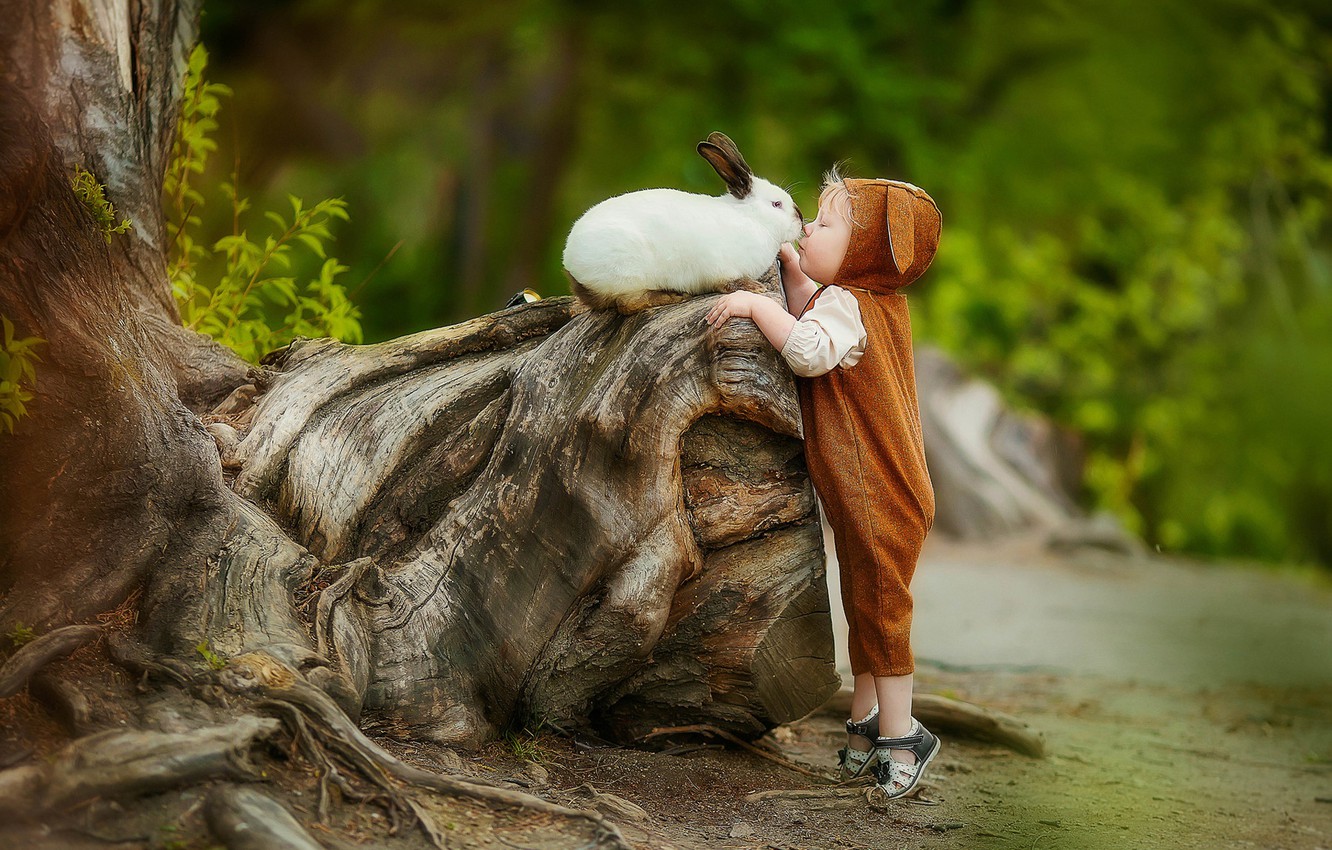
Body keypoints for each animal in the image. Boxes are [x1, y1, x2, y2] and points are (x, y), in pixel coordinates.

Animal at [563, 132, 805, 313]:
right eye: (776, 204)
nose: (800, 221)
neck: (751, 219)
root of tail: (571, 262)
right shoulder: (719, 267)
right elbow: (728, 283)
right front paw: (754, 287)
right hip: (629, 274)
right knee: (627, 304)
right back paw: (673, 296)